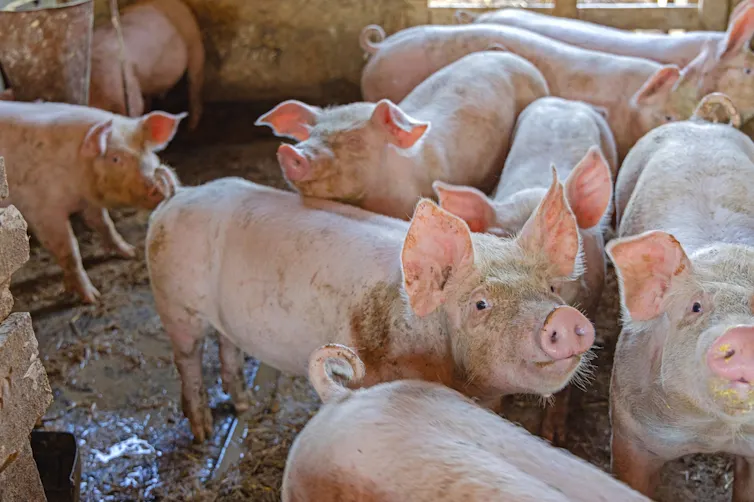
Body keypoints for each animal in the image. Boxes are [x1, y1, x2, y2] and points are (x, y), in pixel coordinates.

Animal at [0, 101, 184, 304]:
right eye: (115, 158)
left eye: (147, 152)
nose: (158, 185)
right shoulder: (43, 211)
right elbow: (70, 251)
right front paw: (92, 297)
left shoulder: (90, 203)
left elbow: (104, 224)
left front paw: (130, 252)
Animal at [89, 0, 204, 130]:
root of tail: (180, 4)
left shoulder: (122, 87)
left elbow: (135, 107)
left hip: (195, 43)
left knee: (194, 85)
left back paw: (191, 126)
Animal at [146, 171, 597, 442]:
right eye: (480, 303)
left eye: (551, 286)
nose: (564, 316)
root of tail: (177, 193)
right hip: (173, 303)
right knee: (187, 359)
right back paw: (204, 433)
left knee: (227, 345)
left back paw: (243, 405)